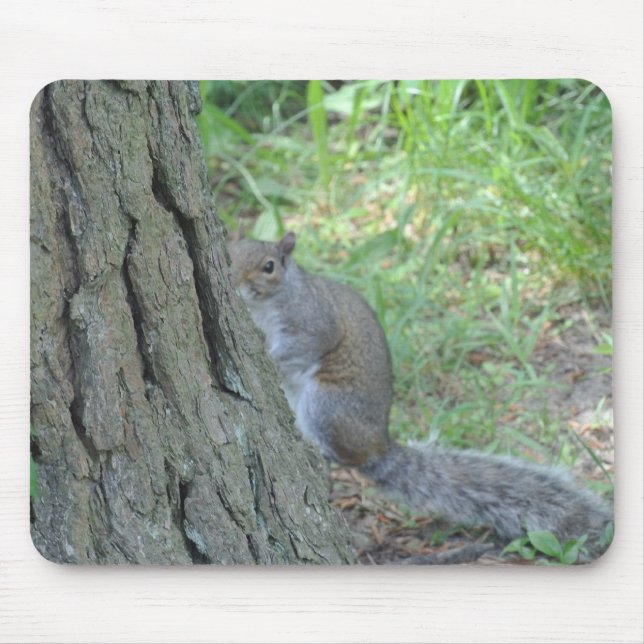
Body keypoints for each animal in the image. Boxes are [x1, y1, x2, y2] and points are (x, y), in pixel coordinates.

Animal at [228, 232, 612, 551]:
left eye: (269, 266)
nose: (236, 284)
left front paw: (270, 356)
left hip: (326, 404)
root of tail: (379, 448)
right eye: (232, 253)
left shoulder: (313, 321)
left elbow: (305, 345)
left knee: (343, 455)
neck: (267, 304)